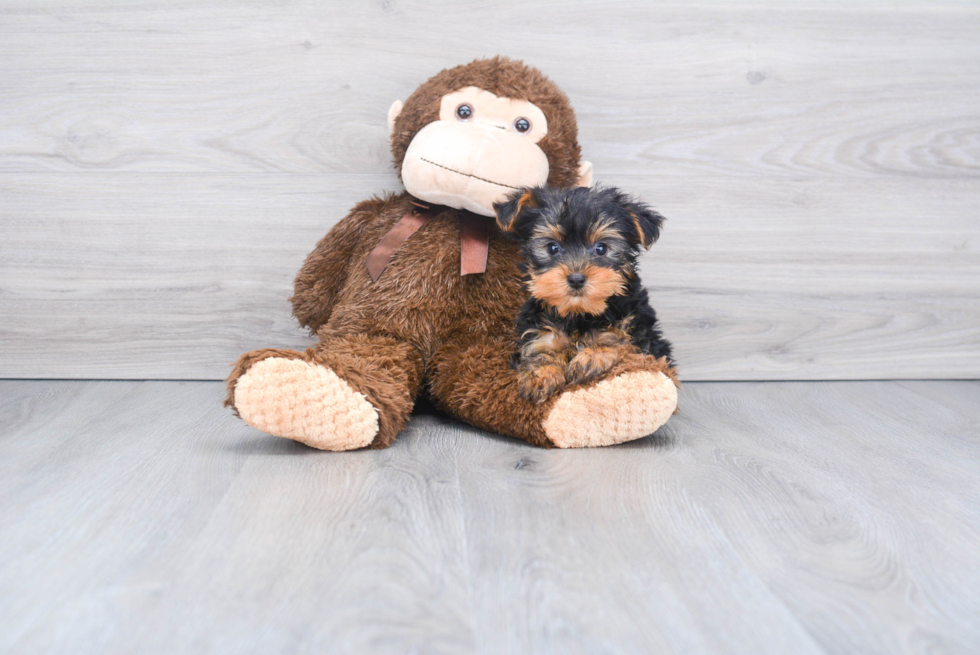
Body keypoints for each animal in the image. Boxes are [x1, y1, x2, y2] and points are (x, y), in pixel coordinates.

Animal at [498, 186, 672, 404]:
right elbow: (539, 349)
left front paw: (593, 354)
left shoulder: (643, 339)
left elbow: (621, 342)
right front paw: (540, 374)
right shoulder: (538, 330)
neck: (578, 313)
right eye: (553, 247)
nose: (576, 279)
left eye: (601, 248)